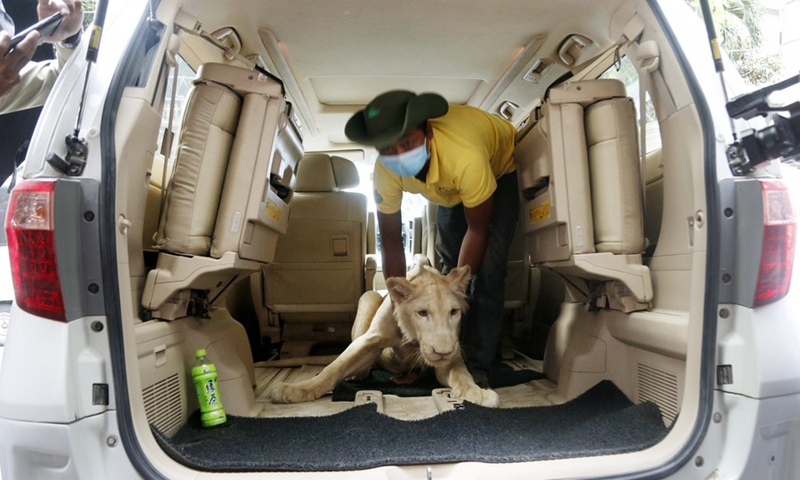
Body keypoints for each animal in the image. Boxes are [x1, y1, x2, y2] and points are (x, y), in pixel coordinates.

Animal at [269, 265, 500, 407]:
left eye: (453, 312)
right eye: (422, 313)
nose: (442, 351)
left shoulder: (449, 355)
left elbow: (460, 374)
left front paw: (477, 391)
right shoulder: (370, 339)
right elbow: (333, 369)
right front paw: (294, 390)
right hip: (368, 296)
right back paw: (358, 374)